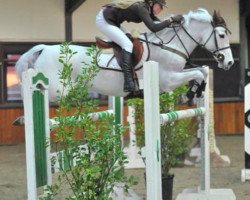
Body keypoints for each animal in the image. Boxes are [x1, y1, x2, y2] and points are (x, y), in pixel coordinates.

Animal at [15, 8, 234, 102]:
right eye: (222, 35)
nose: (230, 63)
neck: (169, 46)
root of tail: (43, 48)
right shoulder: (168, 80)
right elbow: (197, 73)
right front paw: (191, 93)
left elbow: (202, 72)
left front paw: (196, 91)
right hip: (56, 89)